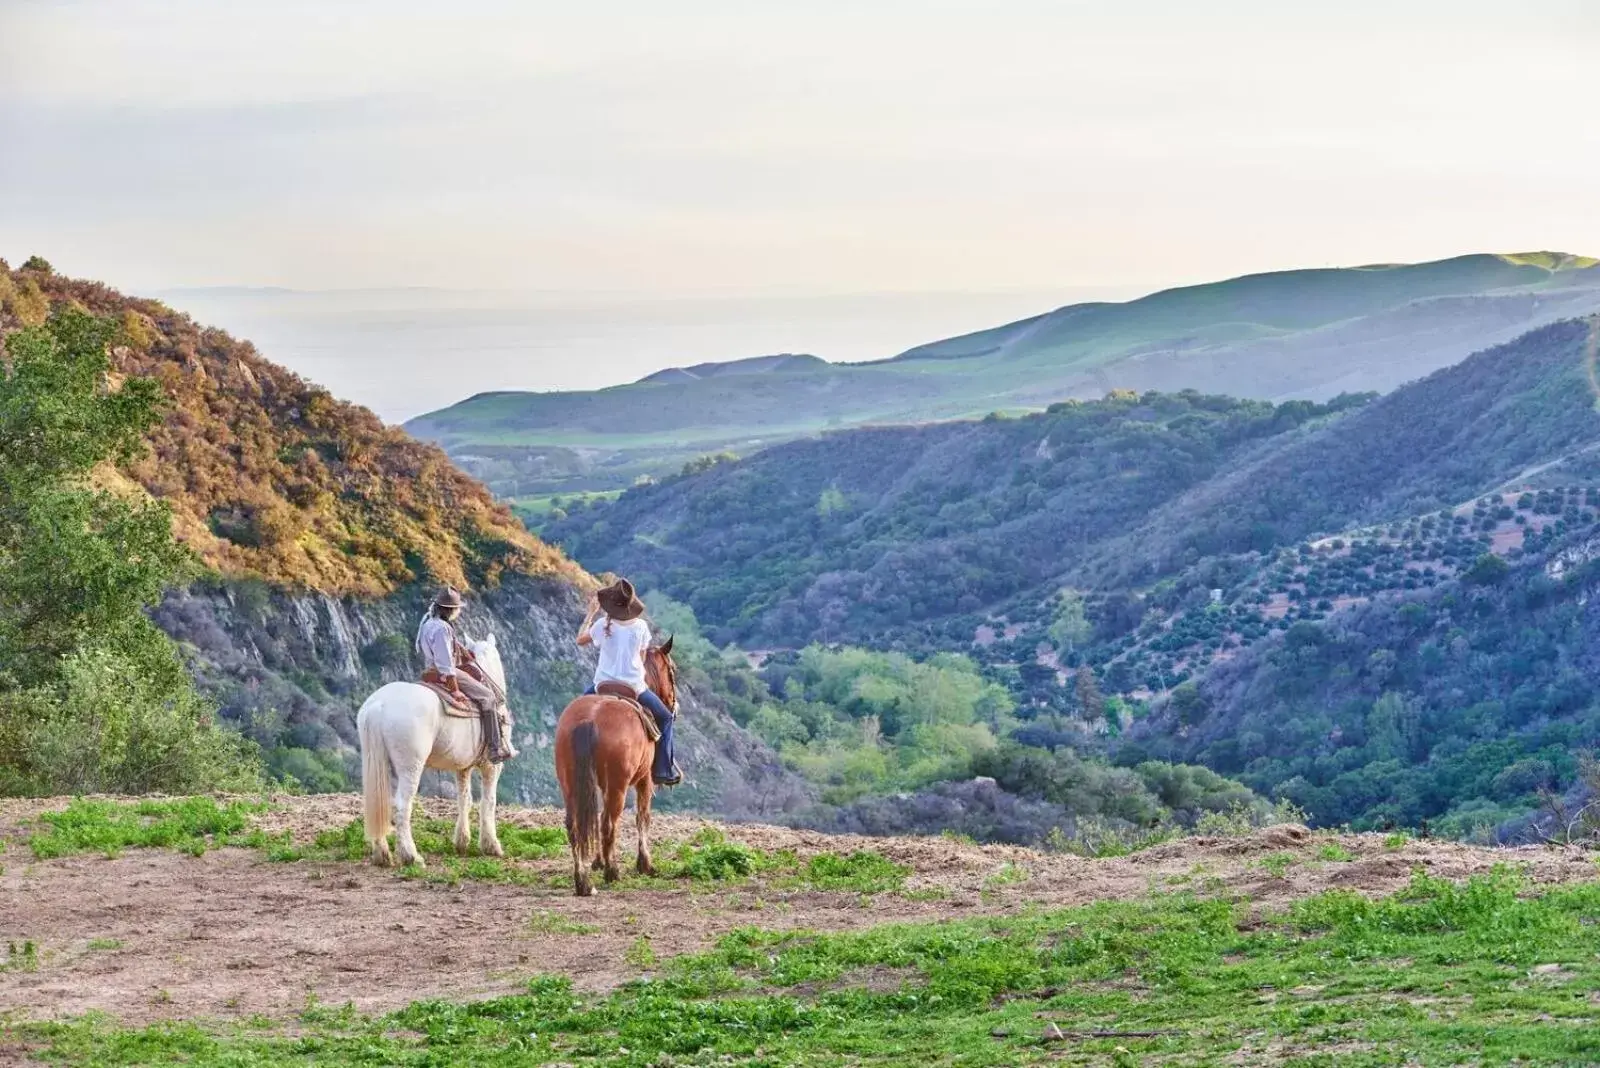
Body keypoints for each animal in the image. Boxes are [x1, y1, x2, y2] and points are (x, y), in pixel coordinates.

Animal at [360, 633, 515, 869]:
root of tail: (379, 705)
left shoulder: (463, 768)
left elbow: (464, 799)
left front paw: (461, 842)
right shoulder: (491, 766)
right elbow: (488, 802)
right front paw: (491, 846)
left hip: (378, 766)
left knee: (379, 804)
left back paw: (382, 855)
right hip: (410, 767)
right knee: (401, 806)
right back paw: (411, 856)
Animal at [556, 639, 675, 895]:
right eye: (672, 671)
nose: (673, 705)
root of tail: (589, 719)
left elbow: (597, 816)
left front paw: (598, 862)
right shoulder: (644, 780)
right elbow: (642, 817)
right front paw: (645, 864)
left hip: (569, 783)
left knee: (577, 825)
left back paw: (583, 880)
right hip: (619, 785)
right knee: (609, 823)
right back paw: (612, 872)